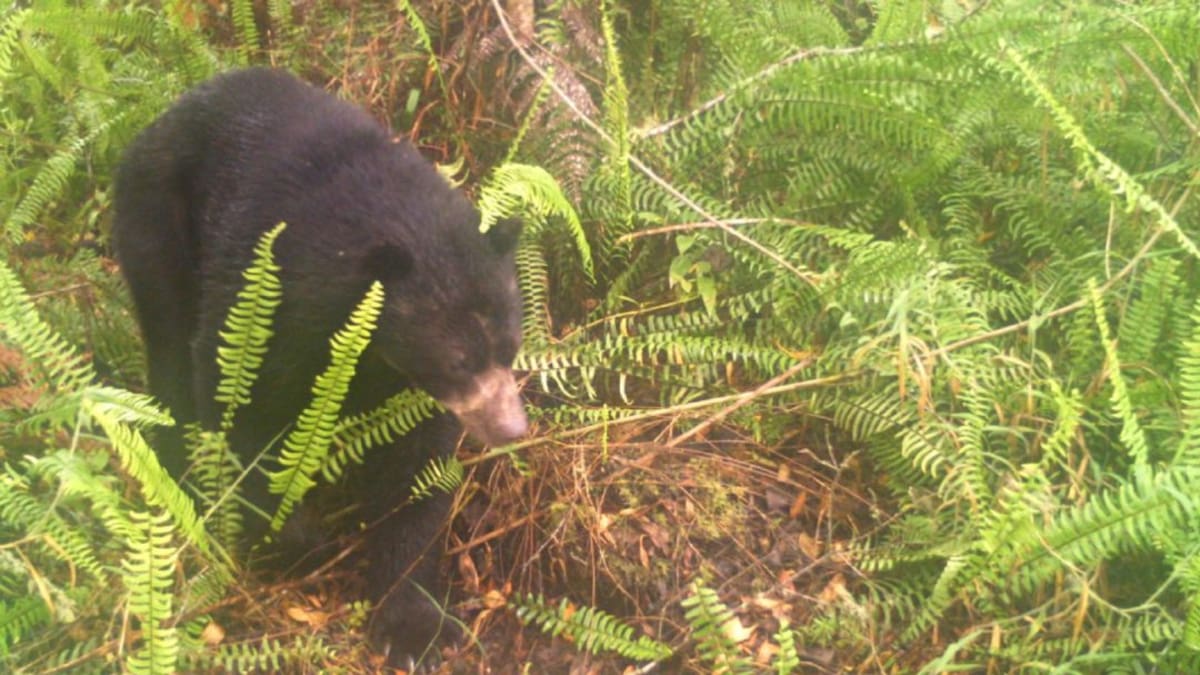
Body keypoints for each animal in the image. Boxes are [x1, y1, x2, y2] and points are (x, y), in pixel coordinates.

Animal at [111, 67, 528, 664]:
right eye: (458, 360)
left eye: (511, 346)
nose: (511, 427)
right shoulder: (268, 297)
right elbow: (239, 399)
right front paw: (294, 542)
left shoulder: (405, 384)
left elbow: (416, 469)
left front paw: (414, 625)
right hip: (156, 223)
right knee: (169, 348)